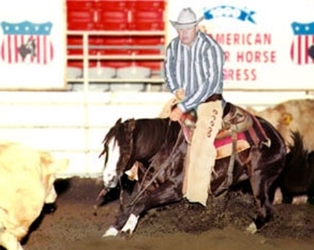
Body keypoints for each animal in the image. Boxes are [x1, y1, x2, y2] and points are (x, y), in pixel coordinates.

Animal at [99, 102, 286, 237]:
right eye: (106, 147)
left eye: (124, 149)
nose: (108, 178)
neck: (164, 147)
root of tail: (277, 137)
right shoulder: (145, 184)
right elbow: (129, 206)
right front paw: (111, 232)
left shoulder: (174, 189)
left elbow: (140, 203)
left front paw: (127, 230)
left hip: (259, 177)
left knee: (265, 210)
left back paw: (249, 230)